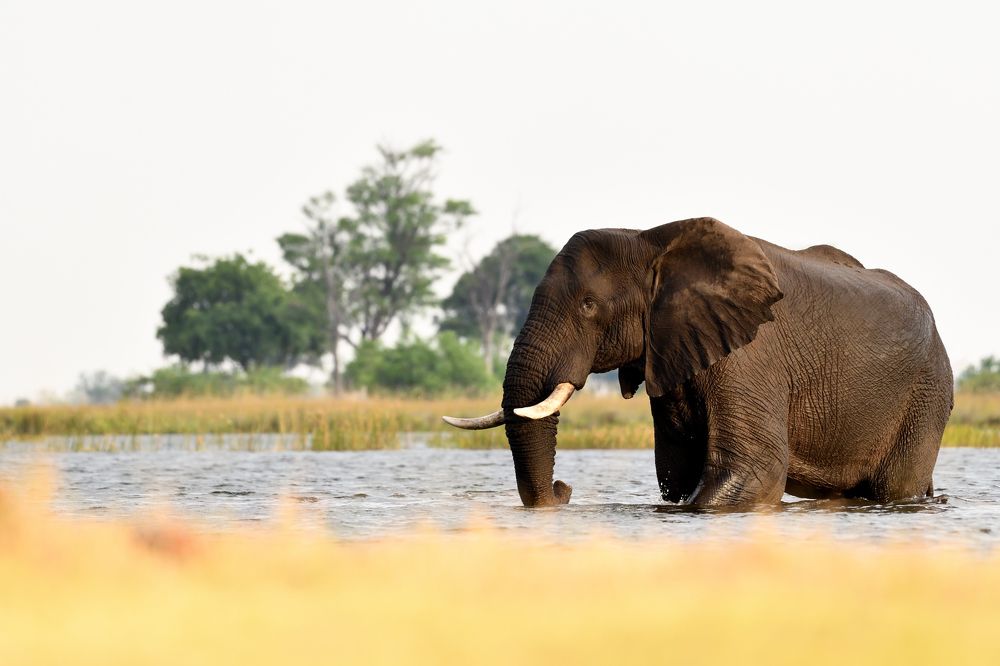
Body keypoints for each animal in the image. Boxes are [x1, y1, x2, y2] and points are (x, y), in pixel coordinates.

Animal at [444, 217, 954, 508]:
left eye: (588, 305)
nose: (563, 491)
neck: (650, 242)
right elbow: (677, 474)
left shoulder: (752, 356)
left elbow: (754, 471)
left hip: (927, 393)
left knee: (895, 485)